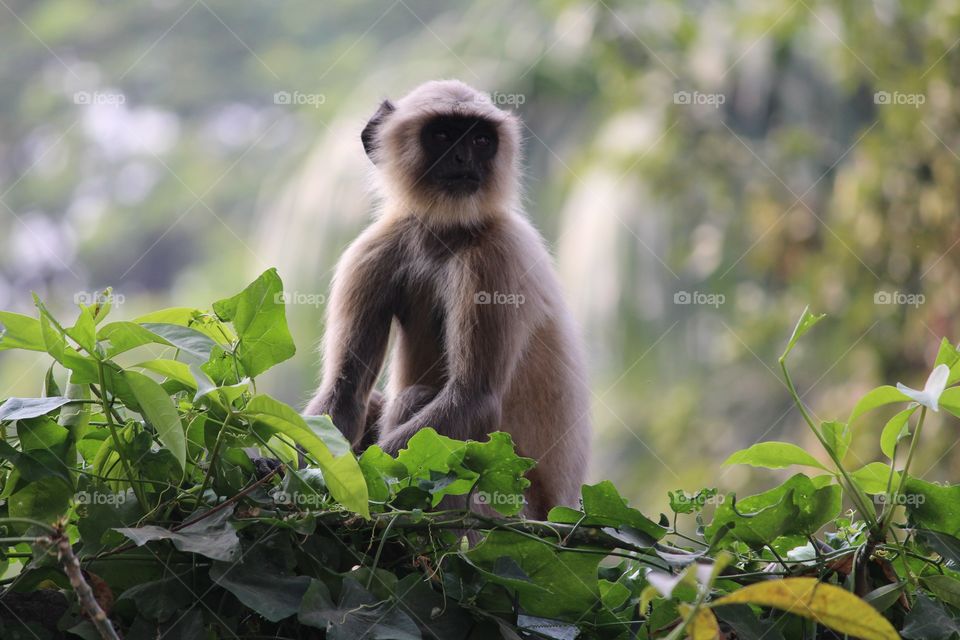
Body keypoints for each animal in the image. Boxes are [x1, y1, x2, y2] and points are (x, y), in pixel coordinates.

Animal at [305, 80, 590, 519]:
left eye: (480, 139)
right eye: (442, 135)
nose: (462, 157)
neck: (445, 234)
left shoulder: (498, 256)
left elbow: (473, 398)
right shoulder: (372, 252)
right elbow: (345, 389)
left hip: (503, 504)